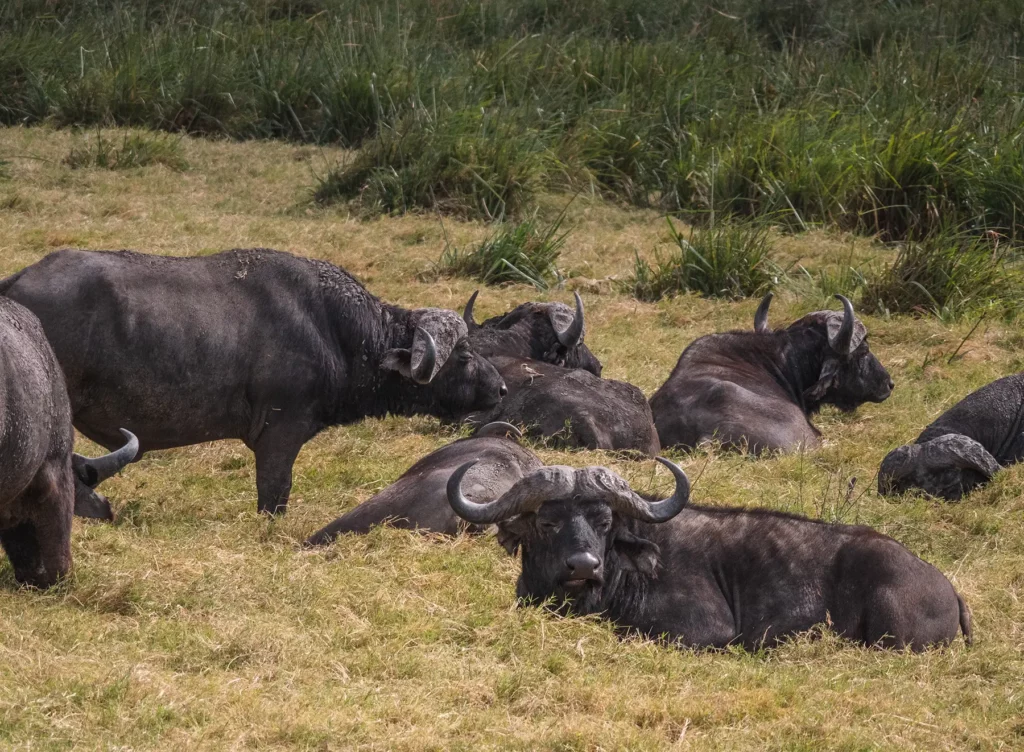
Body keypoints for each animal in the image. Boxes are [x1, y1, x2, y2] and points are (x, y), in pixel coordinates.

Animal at [0, 249, 506, 515]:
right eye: (464, 354)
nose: (501, 389)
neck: (334, 328)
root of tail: (16, 284)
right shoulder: (280, 434)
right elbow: (274, 494)